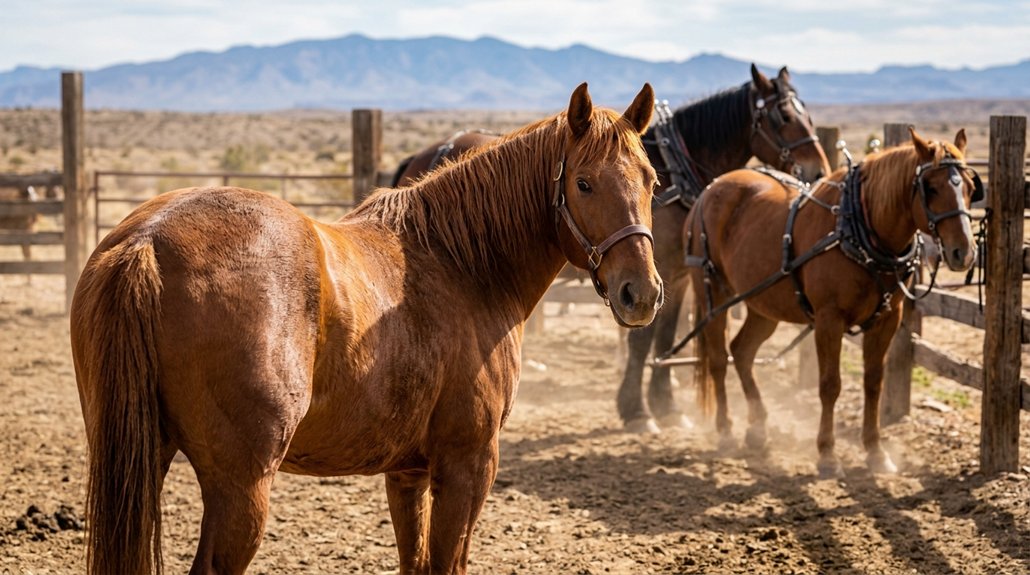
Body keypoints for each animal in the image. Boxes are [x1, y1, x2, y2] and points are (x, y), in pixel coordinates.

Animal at [70, 83, 662, 575]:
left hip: (142, 460)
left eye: (652, 182)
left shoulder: (408, 472)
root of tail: (148, 239)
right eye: (583, 183)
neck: (462, 262)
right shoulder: (468, 465)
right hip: (241, 487)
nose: (642, 293)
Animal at [682, 127, 979, 477]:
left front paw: (876, 452)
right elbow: (829, 385)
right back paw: (726, 431)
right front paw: (827, 454)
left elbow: (873, 384)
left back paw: (757, 428)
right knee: (717, 358)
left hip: (763, 304)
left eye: (971, 187)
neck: (859, 230)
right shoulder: (828, 320)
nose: (964, 252)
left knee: (741, 352)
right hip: (713, 293)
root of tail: (711, 189)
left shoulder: (887, 319)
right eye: (930, 188)